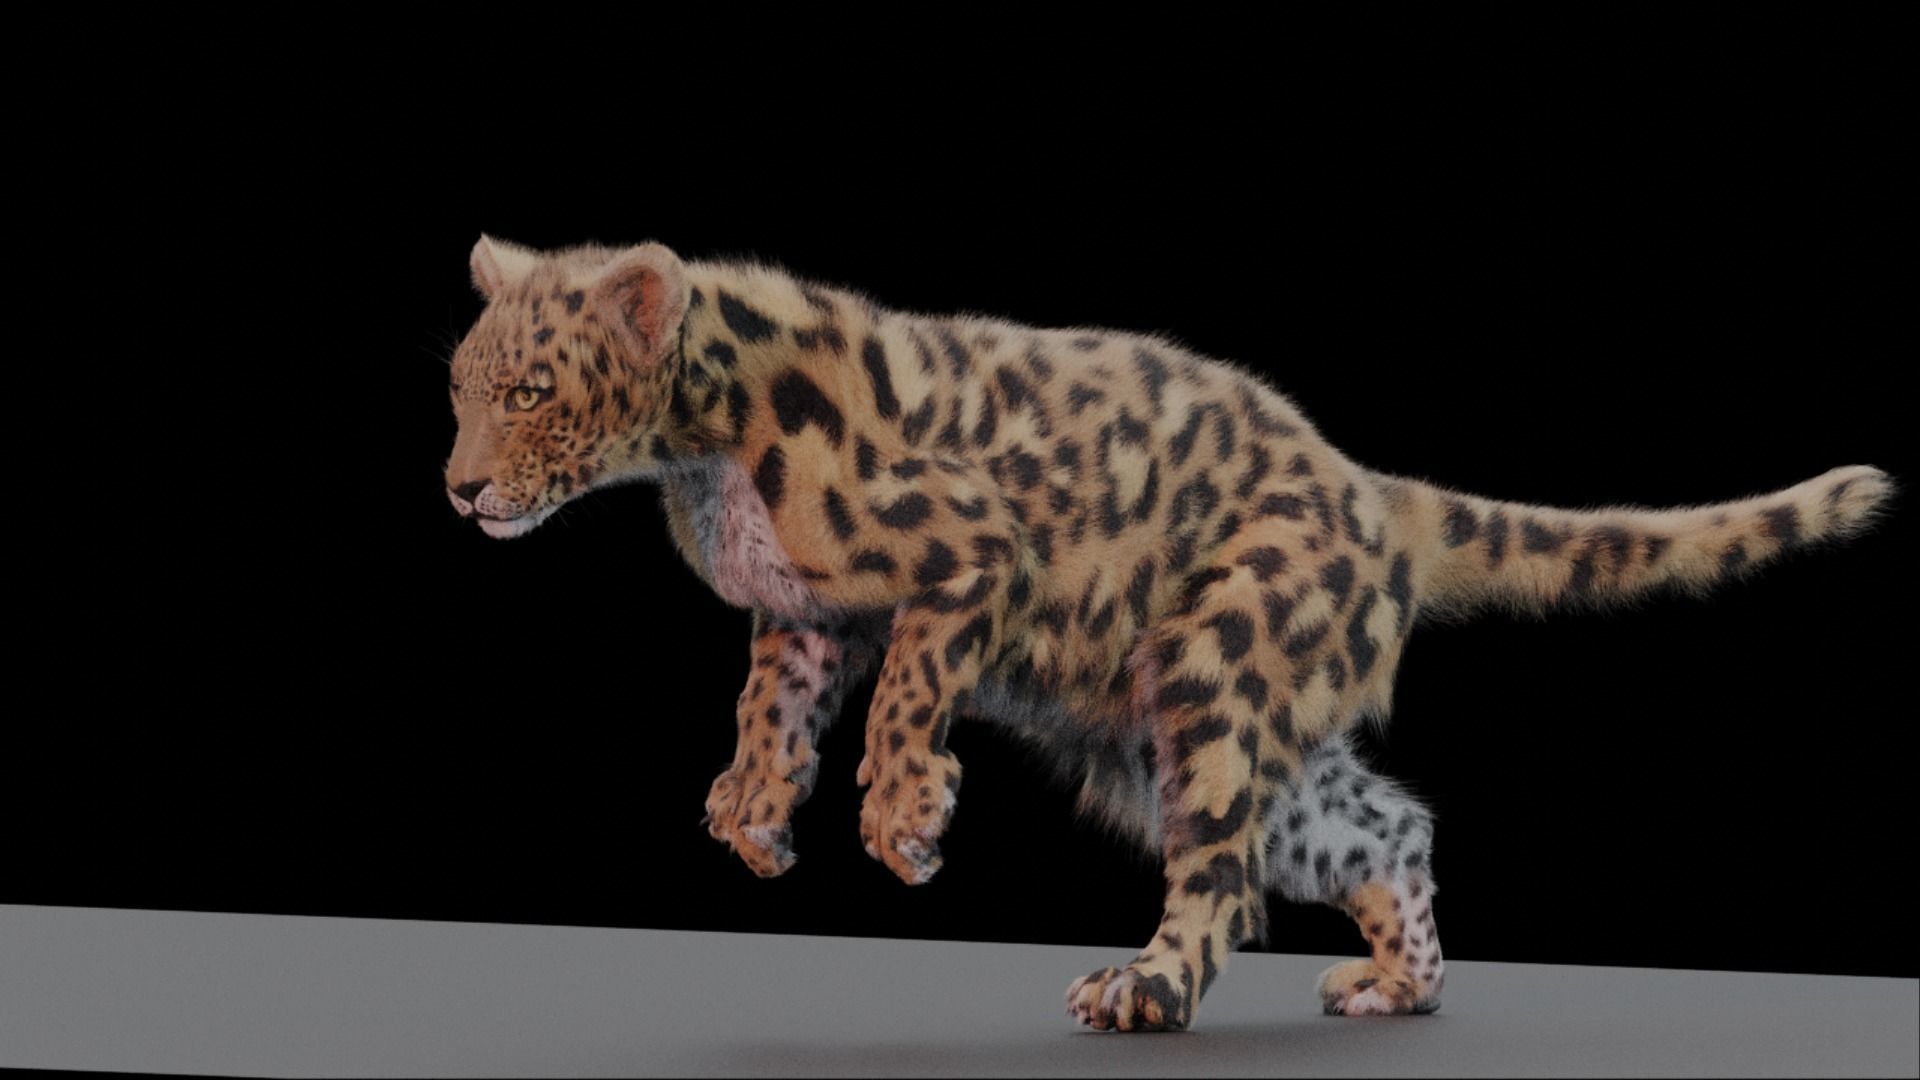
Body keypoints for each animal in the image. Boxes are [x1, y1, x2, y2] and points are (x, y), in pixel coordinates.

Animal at [442, 235, 1893, 1031]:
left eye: (530, 391)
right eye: (459, 386)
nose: (455, 489)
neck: (698, 446)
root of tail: (1375, 492)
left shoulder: (970, 554)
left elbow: (909, 685)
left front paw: (903, 817)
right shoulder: (805, 618)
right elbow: (774, 707)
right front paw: (750, 810)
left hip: (1214, 666)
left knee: (1228, 877)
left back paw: (1143, 992)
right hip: (1182, 740)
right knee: (1382, 827)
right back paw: (1399, 987)